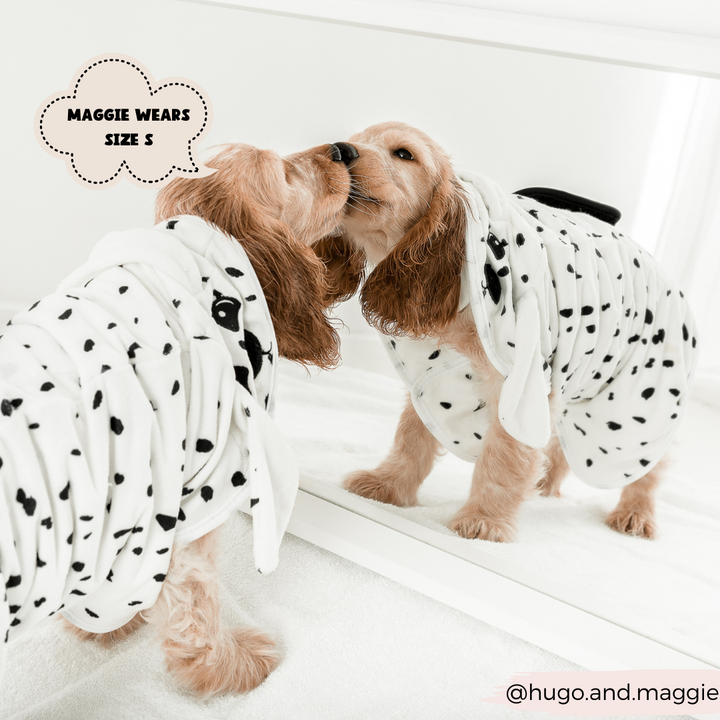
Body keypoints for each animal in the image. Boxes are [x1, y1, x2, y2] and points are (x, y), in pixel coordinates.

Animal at [316, 121, 696, 544]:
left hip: (634, 405)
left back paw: (635, 513)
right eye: (355, 140)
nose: (340, 150)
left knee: (648, 466)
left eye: (403, 154)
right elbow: (412, 438)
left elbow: (504, 458)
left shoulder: (520, 386)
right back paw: (546, 484)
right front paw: (388, 487)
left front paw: (485, 521)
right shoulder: (433, 377)